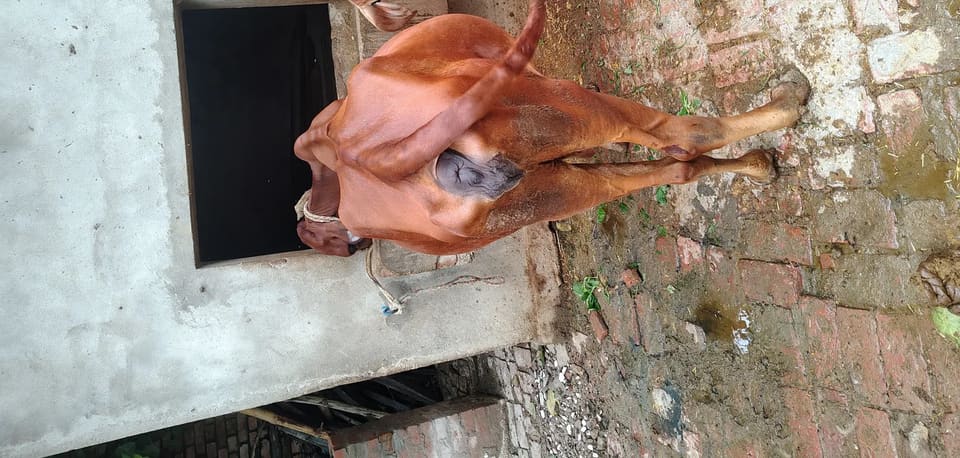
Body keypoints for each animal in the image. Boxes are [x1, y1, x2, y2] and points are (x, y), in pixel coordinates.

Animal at [294, 0, 809, 257]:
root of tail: (366, 156)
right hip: (569, 107)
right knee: (682, 136)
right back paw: (786, 104)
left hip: (545, 195)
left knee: (670, 166)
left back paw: (758, 163)